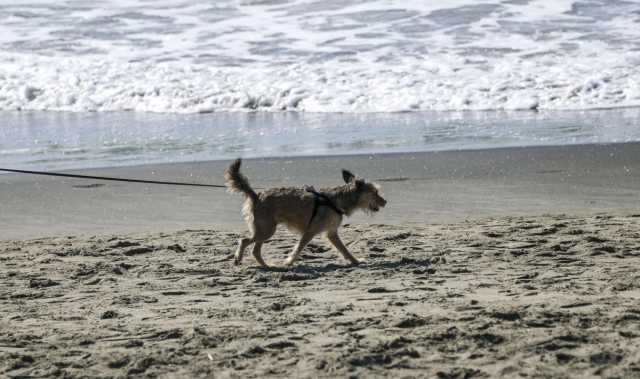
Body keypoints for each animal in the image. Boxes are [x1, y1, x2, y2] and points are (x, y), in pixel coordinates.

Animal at [224, 159, 384, 268]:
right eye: (375, 192)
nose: (385, 202)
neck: (337, 200)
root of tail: (257, 196)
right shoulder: (310, 231)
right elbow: (299, 248)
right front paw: (289, 262)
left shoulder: (331, 233)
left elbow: (344, 250)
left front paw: (356, 261)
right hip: (266, 230)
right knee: (246, 242)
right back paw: (246, 260)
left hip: (264, 229)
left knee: (253, 248)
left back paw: (263, 265)